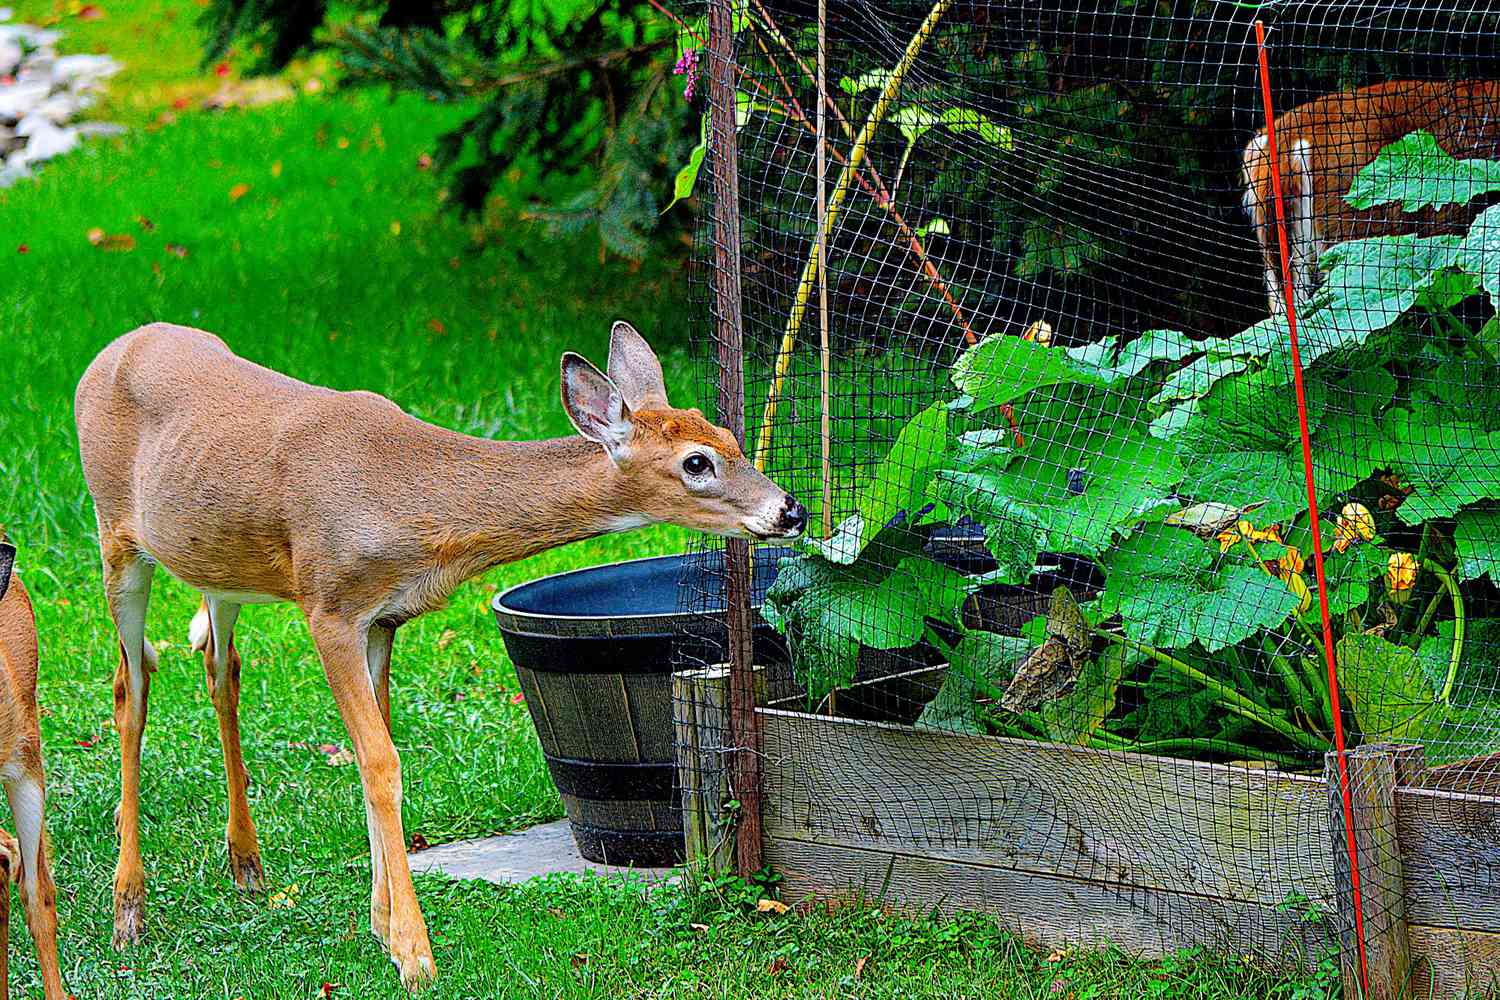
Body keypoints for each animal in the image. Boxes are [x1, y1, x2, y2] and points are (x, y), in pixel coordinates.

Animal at [74, 320, 807, 989]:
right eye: (695, 462)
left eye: (731, 439)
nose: (790, 510)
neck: (417, 506)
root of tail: (111, 350)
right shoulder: (329, 604)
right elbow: (379, 761)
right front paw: (413, 953)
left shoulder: (383, 619)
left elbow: (374, 753)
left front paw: (379, 922)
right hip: (116, 537)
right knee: (129, 687)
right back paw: (128, 910)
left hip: (217, 564)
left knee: (218, 669)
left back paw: (247, 866)